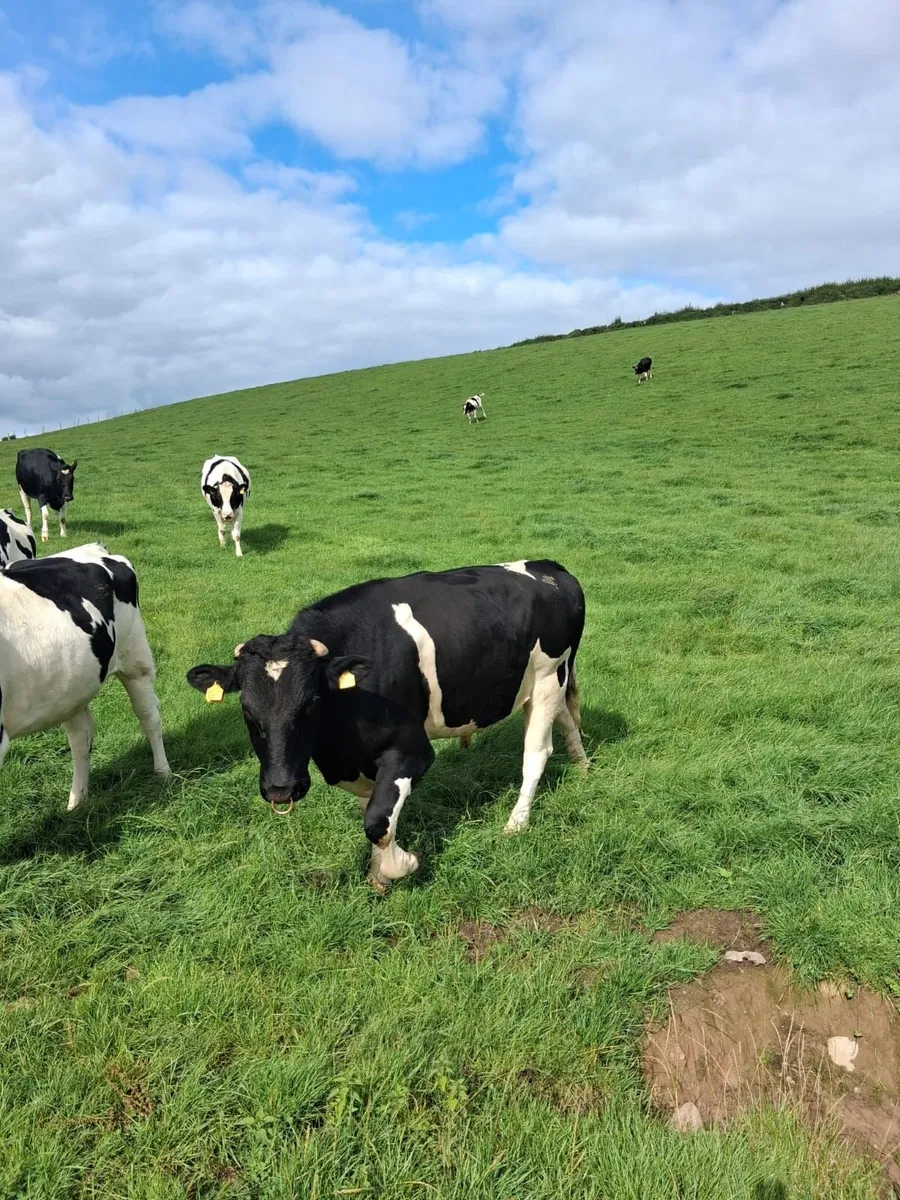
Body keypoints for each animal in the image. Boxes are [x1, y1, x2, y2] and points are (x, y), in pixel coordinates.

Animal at [0, 543, 171, 811]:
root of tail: (93, 547)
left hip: (136, 659)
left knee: (149, 717)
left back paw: (163, 773)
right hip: (70, 690)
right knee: (81, 738)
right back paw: (76, 803)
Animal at [187, 560, 588, 891]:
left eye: (311, 702)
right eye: (247, 711)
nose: (280, 788)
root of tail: (551, 568)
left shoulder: (412, 749)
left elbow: (377, 820)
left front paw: (402, 865)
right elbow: (374, 812)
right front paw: (378, 871)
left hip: (548, 675)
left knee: (536, 752)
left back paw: (516, 823)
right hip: (548, 682)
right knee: (567, 716)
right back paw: (583, 767)